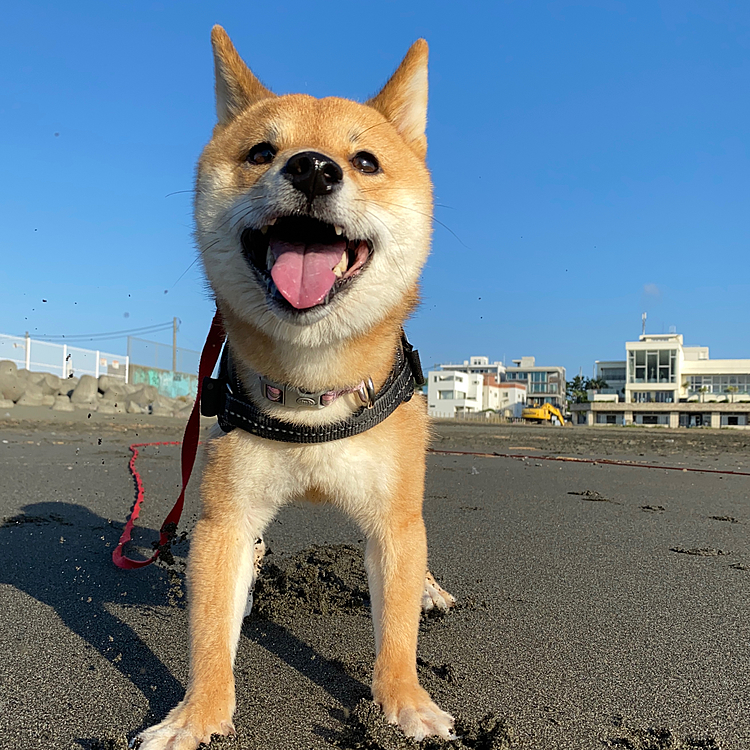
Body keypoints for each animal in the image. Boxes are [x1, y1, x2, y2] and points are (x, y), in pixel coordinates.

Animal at [140, 26, 458, 748]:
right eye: (262, 152)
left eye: (366, 161)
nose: (312, 168)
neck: (315, 383)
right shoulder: (224, 520)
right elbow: (209, 632)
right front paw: (196, 716)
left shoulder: (394, 521)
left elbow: (398, 628)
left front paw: (406, 701)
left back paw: (430, 588)